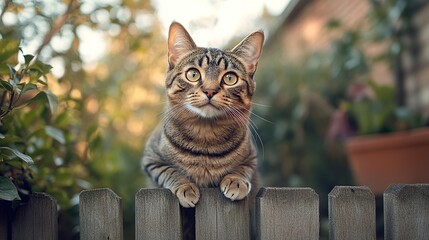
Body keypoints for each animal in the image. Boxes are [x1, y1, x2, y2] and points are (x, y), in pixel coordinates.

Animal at [142, 22, 262, 209]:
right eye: (193, 74)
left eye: (230, 78)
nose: (210, 90)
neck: (206, 133)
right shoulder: (150, 159)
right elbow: (167, 170)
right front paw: (185, 187)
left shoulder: (252, 157)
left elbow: (243, 168)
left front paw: (235, 181)